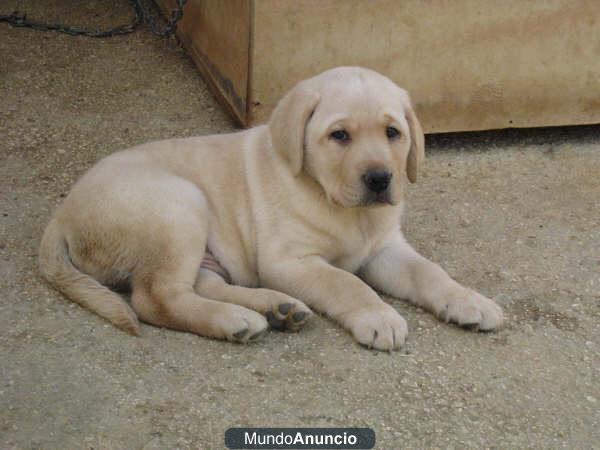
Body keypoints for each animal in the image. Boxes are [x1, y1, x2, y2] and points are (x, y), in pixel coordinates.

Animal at [39, 67, 504, 350]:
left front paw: (468, 300)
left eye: (393, 132)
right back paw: (234, 320)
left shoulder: (385, 248)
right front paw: (379, 316)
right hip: (179, 205)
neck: (341, 206)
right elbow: (346, 283)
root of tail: (62, 215)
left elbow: (429, 272)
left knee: (198, 284)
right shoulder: (290, 260)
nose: (379, 179)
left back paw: (275, 308)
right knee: (154, 298)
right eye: (339, 135)